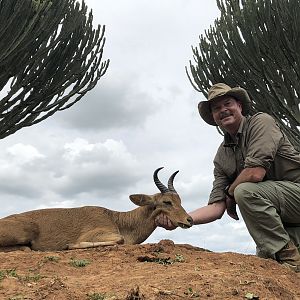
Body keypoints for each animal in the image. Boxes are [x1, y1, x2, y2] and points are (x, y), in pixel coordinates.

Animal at [0, 168, 192, 252]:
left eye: (180, 200)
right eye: (167, 202)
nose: (189, 220)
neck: (117, 219)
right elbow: (120, 240)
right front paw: (70, 245)